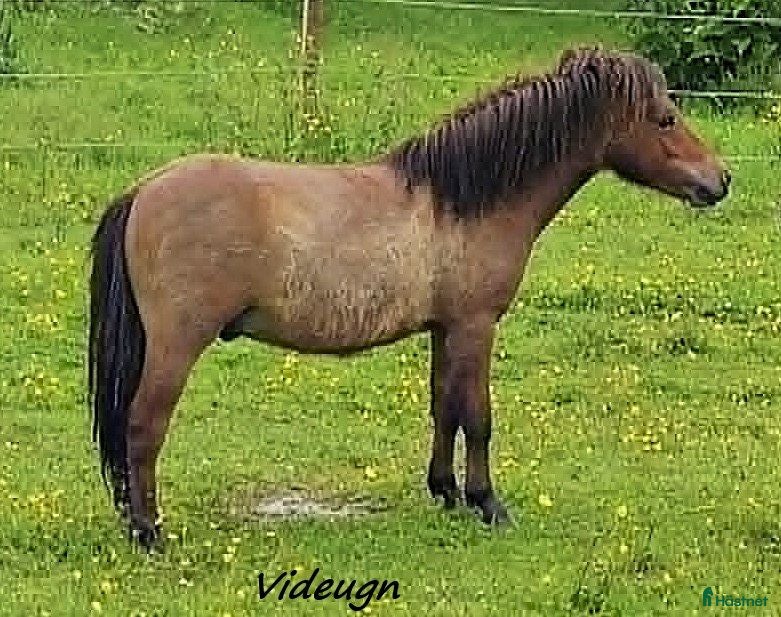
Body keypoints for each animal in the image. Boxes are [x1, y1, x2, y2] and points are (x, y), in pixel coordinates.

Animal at [88, 48, 730, 550]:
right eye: (665, 119)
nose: (720, 180)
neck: (463, 200)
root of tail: (144, 190)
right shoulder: (476, 326)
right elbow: (478, 416)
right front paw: (488, 503)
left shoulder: (446, 328)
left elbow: (444, 408)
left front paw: (445, 492)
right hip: (176, 345)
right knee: (143, 426)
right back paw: (149, 534)